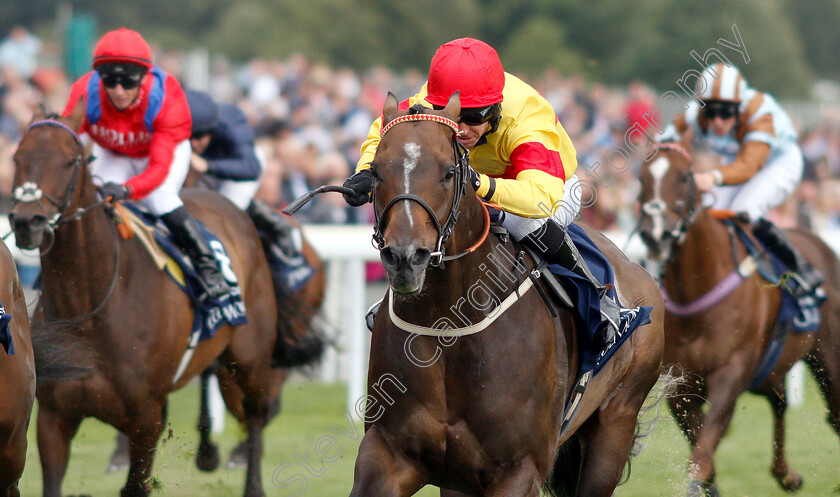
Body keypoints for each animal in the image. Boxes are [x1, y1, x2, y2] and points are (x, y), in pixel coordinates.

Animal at [8, 105, 320, 496]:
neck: (88, 307)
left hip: (249, 360)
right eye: (17, 158)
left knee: (255, 416)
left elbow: (136, 484)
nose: (27, 222)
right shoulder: (53, 417)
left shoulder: (146, 417)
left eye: (69, 160)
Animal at [348, 94, 664, 496]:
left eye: (449, 172)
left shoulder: (520, 468)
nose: (405, 257)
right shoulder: (389, 454)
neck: (447, 325)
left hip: (615, 424)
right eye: (375, 172)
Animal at [636, 142, 840, 492]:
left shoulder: (730, 376)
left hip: (829, 358)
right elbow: (704, 464)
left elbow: (701, 460)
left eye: (684, 177)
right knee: (780, 401)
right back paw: (786, 475)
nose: (656, 234)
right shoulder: (680, 388)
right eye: (641, 178)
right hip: (771, 369)